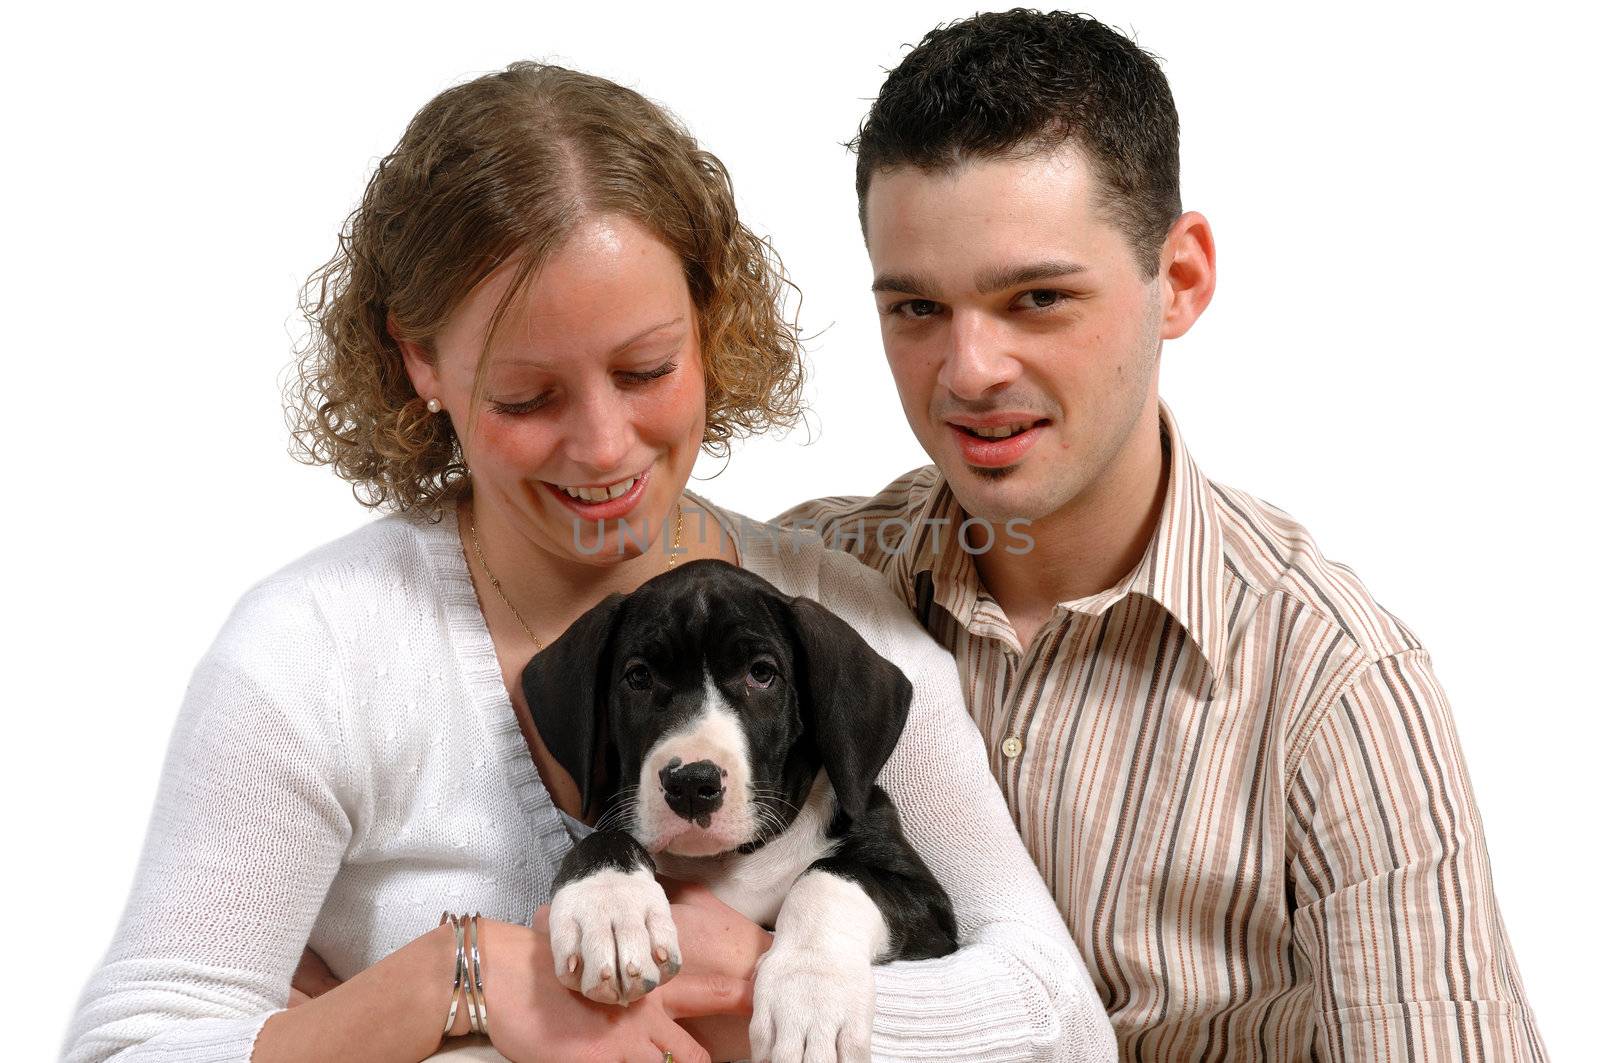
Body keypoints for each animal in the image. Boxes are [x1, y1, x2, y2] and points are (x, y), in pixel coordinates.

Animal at [518, 560, 953, 1056]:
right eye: (638, 677)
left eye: (762, 673)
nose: (691, 783)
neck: (734, 860)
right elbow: (603, 838)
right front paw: (609, 908)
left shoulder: (930, 906)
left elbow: (832, 877)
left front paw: (811, 995)